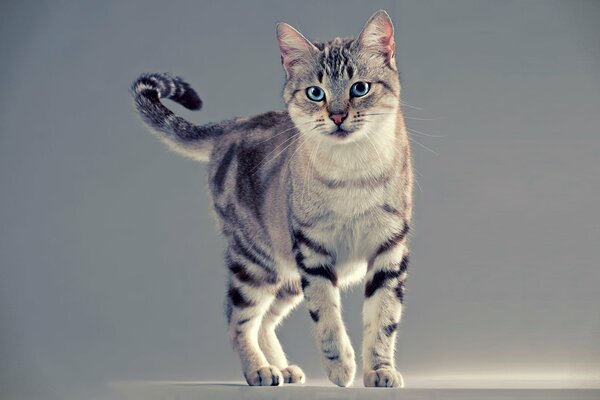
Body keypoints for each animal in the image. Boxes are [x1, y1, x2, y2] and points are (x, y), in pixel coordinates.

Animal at [131, 10, 412, 388]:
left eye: (360, 88)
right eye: (315, 93)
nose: (337, 116)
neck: (352, 172)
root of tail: (233, 124)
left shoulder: (389, 251)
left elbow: (383, 319)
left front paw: (379, 371)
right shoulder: (313, 252)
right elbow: (326, 315)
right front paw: (340, 366)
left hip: (286, 276)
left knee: (264, 320)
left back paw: (283, 368)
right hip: (255, 262)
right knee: (237, 320)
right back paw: (260, 371)